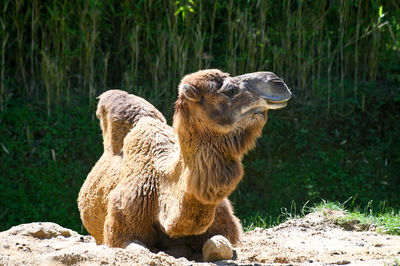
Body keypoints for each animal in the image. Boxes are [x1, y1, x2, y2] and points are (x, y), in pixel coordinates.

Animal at [77, 68, 290, 260]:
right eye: (229, 90)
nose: (277, 81)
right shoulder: (120, 232)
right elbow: (139, 250)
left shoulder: (224, 226)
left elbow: (220, 246)